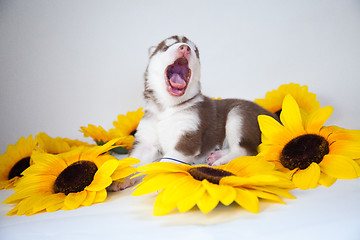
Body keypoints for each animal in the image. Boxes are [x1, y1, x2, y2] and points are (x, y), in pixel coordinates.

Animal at [108, 35, 278, 189]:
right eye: (166, 46)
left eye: (195, 51)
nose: (185, 48)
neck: (167, 108)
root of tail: (272, 115)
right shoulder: (146, 141)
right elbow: (132, 162)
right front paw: (120, 178)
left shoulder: (187, 135)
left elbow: (167, 161)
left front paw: (157, 178)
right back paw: (217, 154)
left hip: (239, 115)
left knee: (245, 149)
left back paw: (222, 159)